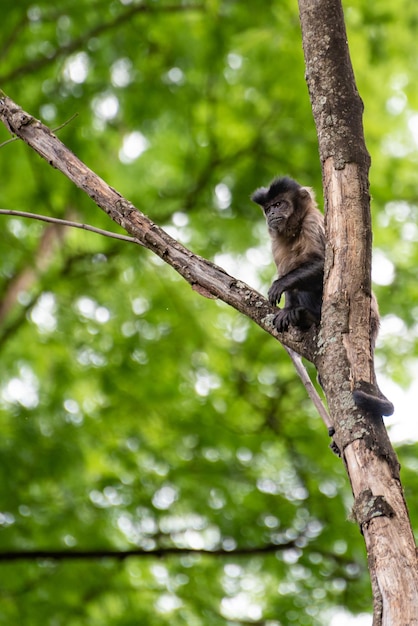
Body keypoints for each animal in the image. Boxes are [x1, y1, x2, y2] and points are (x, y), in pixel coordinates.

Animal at [251, 176, 396, 420]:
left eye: (279, 204)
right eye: (269, 208)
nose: (271, 214)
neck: (295, 231)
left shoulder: (312, 223)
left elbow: (322, 265)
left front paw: (280, 286)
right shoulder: (276, 242)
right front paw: (287, 310)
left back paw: (308, 315)